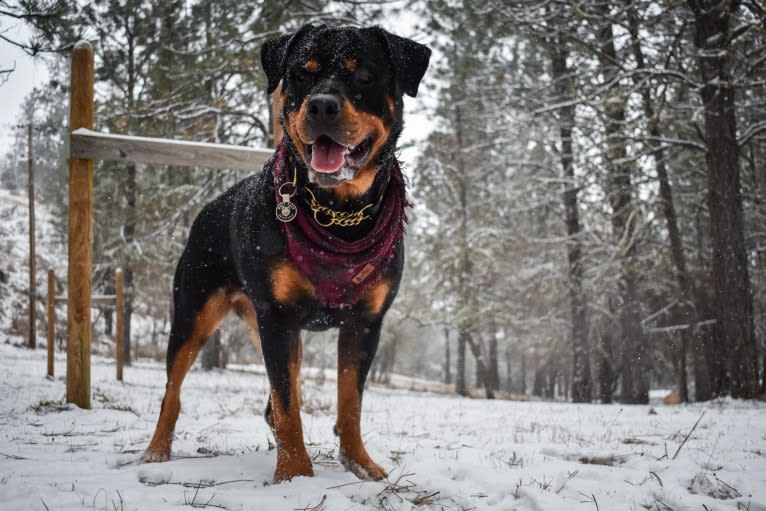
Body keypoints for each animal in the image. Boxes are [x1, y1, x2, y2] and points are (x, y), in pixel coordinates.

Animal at [142, 25, 432, 484]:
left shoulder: (366, 323)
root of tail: (208, 207)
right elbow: (287, 403)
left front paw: (359, 464)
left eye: (363, 75)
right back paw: (155, 453)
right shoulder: (276, 318)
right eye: (302, 73)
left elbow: (350, 401)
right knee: (173, 391)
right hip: (193, 311)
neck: (338, 216)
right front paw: (294, 474)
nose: (322, 105)